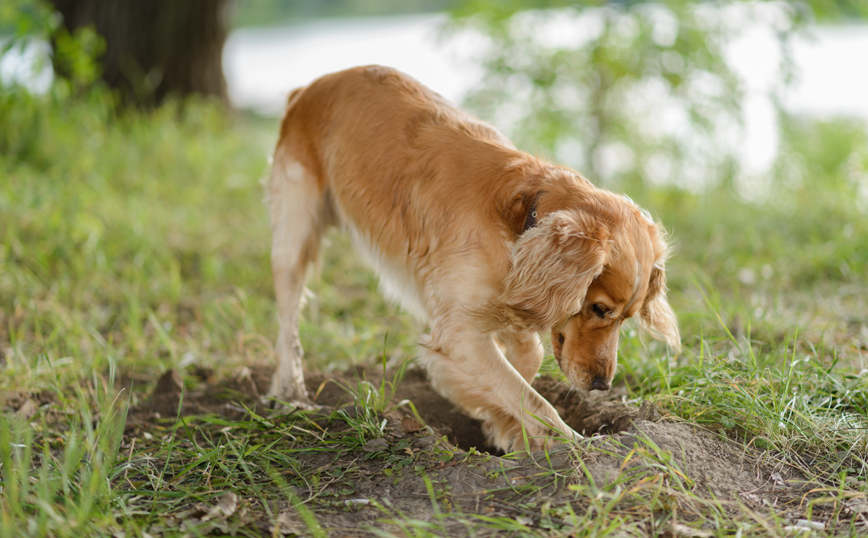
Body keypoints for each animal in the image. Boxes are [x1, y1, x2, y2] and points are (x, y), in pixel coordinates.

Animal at [264, 65, 680, 450]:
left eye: (626, 318)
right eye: (598, 309)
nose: (602, 384)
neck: (520, 223)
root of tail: (311, 87)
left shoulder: (509, 302)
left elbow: (526, 362)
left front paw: (502, 426)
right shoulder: (459, 330)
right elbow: (533, 400)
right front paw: (568, 443)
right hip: (293, 238)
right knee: (287, 328)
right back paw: (290, 395)